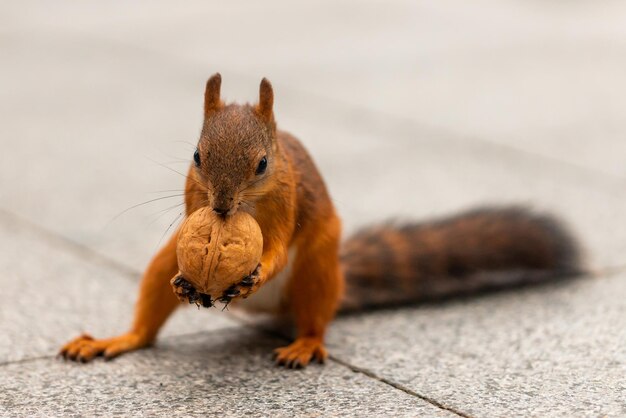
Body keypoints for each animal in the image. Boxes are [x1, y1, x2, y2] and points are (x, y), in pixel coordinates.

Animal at [58, 75, 580, 370]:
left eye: (263, 164)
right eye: (197, 156)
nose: (221, 208)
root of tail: (269, 312)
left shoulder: (287, 203)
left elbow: (276, 249)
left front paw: (254, 273)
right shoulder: (192, 199)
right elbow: (190, 231)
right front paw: (186, 279)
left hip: (315, 269)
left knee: (314, 319)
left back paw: (304, 345)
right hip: (163, 259)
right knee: (147, 322)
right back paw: (116, 339)